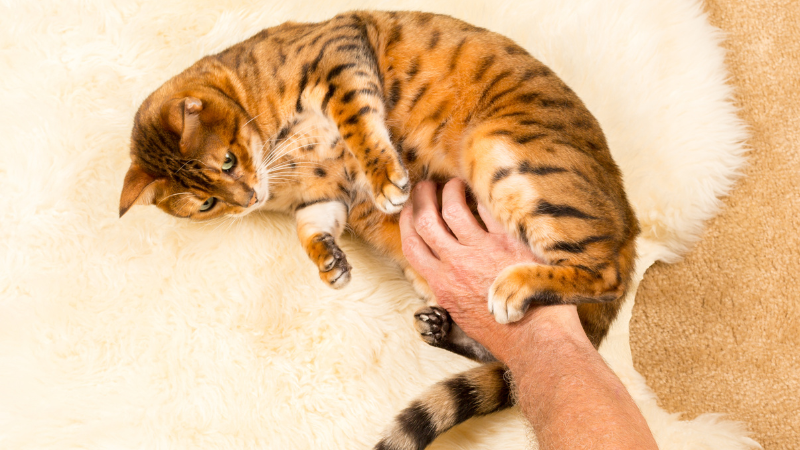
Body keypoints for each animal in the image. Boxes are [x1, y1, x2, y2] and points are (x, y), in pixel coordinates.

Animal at [119, 9, 640, 450]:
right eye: (206, 202)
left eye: (227, 161)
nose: (246, 200)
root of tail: (632, 229)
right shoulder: (323, 198)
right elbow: (310, 230)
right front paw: (330, 263)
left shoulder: (338, 53)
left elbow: (355, 118)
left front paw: (387, 178)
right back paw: (440, 327)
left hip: (501, 151)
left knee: (604, 276)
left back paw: (516, 285)